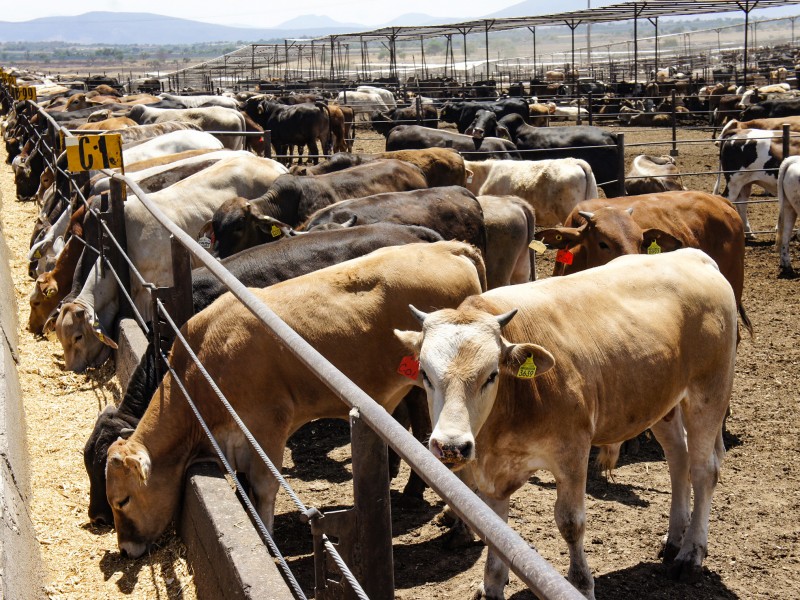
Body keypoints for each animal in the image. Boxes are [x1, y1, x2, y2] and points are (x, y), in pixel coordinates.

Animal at [102, 240, 484, 556]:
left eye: (122, 500)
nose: (125, 550)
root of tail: (447, 247)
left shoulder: (267, 425)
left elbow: (264, 487)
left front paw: (268, 541)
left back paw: (457, 529)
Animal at [396, 247, 740, 600]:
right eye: (424, 373)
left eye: (491, 374)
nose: (451, 445)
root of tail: (692, 255)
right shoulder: (494, 471)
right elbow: (494, 524)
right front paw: (491, 585)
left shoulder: (573, 453)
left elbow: (571, 523)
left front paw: (581, 584)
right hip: (662, 402)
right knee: (678, 460)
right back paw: (673, 540)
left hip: (708, 394)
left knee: (704, 470)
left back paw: (691, 554)